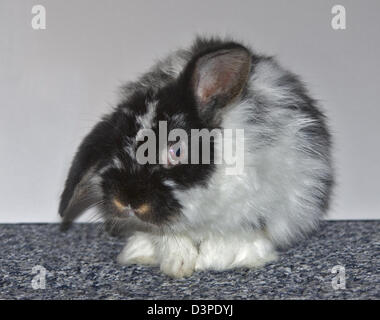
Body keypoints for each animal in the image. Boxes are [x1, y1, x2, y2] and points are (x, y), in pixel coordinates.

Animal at [58, 37, 332, 278]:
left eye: (177, 151)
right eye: (115, 148)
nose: (128, 201)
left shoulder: (249, 212)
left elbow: (228, 240)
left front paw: (212, 263)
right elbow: (171, 240)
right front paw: (177, 265)